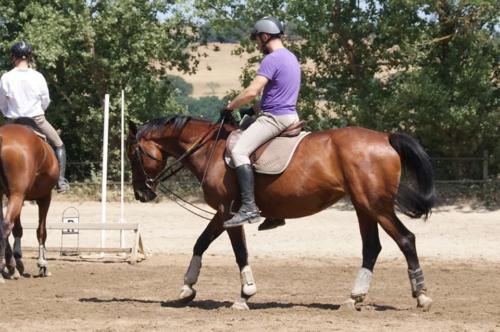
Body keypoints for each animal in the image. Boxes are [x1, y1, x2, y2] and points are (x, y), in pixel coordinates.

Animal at [0, 122, 58, 282]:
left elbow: (18, 229)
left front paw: (17, 263)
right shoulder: (45, 197)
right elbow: (41, 231)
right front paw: (43, 264)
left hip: (12, 196)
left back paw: (10, 266)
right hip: (17, 195)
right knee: (6, 226)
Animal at [127, 115, 436, 312]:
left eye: (133, 153)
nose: (142, 194)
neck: (211, 149)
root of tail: (385, 137)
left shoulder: (230, 213)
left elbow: (240, 253)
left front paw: (245, 295)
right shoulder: (222, 214)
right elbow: (200, 243)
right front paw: (187, 289)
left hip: (376, 205)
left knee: (406, 239)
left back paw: (421, 295)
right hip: (364, 207)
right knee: (371, 247)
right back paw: (354, 297)